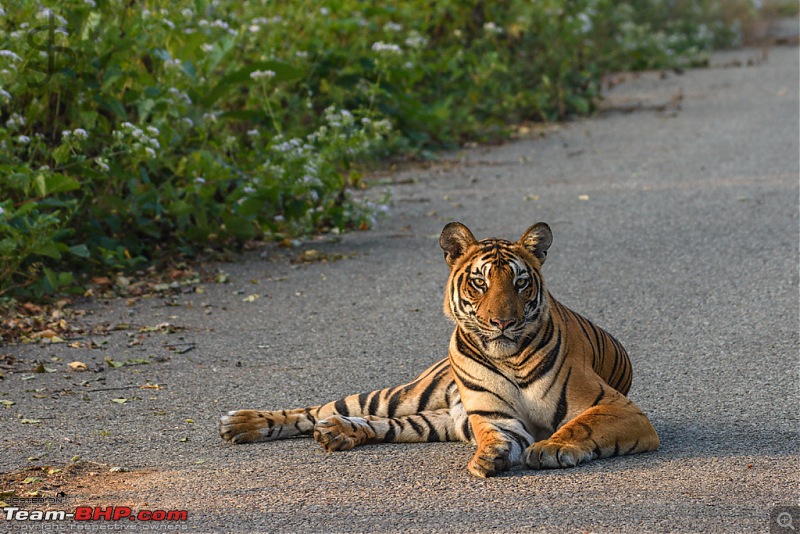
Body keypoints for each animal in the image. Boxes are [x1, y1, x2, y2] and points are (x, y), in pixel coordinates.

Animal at [222, 222, 660, 478]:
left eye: (520, 283)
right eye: (480, 283)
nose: (502, 323)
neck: (509, 357)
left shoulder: (618, 406)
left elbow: (580, 425)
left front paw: (551, 447)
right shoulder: (494, 417)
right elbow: (497, 435)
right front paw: (491, 456)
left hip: (434, 420)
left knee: (377, 424)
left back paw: (338, 433)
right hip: (404, 395)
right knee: (322, 408)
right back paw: (242, 423)